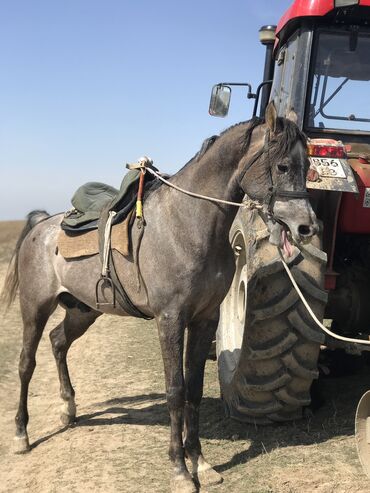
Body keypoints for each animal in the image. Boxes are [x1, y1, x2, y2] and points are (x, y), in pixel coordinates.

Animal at [1, 102, 318, 490]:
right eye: (283, 166)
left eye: (308, 165)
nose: (307, 227)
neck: (187, 224)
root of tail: (42, 225)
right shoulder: (170, 319)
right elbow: (175, 391)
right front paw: (180, 470)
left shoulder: (204, 320)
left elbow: (194, 389)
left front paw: (201, 464)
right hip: (35, 308)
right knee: (26, 364)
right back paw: (21, 434)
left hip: (83, 310)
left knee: (58, 341)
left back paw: (68, 409)